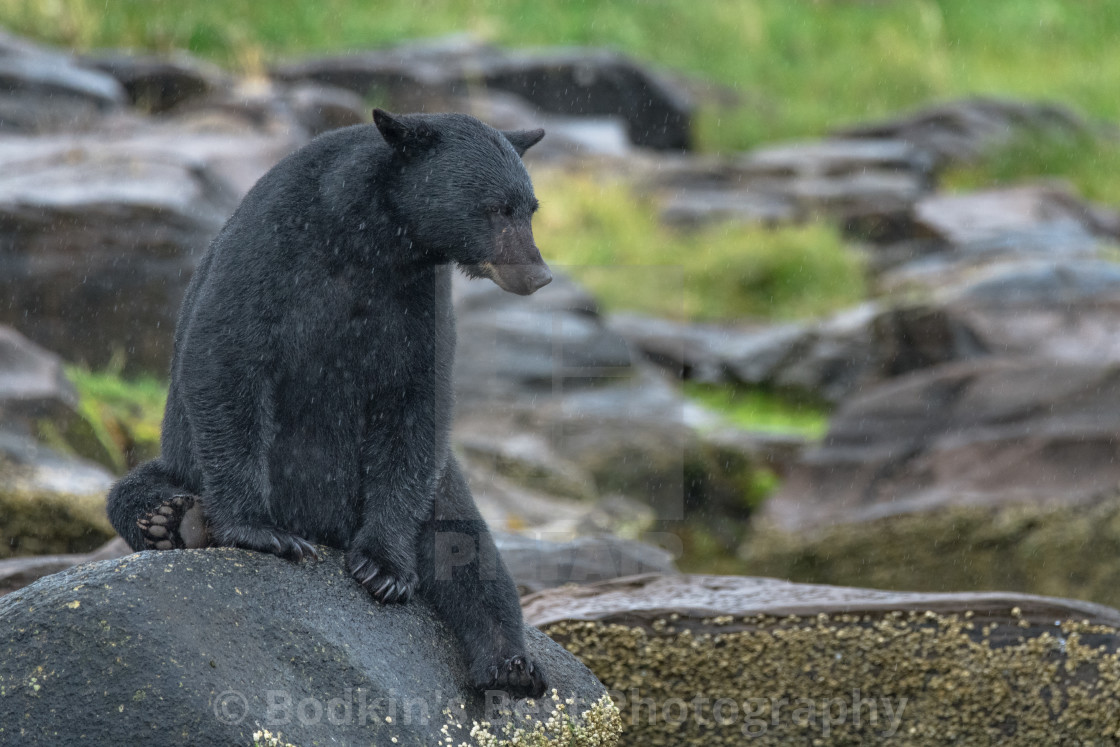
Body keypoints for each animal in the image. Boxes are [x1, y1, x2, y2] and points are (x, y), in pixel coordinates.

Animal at [106, 110, 553, 703]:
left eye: (529, 207)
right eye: (497, 207)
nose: (538, 274)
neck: (373, 243)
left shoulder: (417, 303)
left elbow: (417, 407)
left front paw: (384, 566)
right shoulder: (272, 253)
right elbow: (225, 360)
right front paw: (260, 530)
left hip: (439, 489)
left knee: (469, 546)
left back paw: (511, 665)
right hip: (182, 461)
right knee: (131, 490)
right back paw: (171, 522)